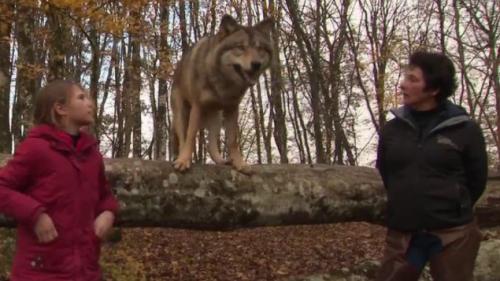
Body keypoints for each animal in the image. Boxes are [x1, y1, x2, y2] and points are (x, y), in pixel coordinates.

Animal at [172, 15, 274, 174]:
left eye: (260, 49)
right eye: (240, 47)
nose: (256, 64)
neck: (224, 82)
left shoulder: (232, 108)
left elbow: (232, 140)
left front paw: (240, 164)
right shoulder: (197, 106)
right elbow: (191, 136)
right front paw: (183, 160)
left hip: (216, 117)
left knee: (211, 143)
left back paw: (221, 161)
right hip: (181, 112)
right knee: (183, 138)